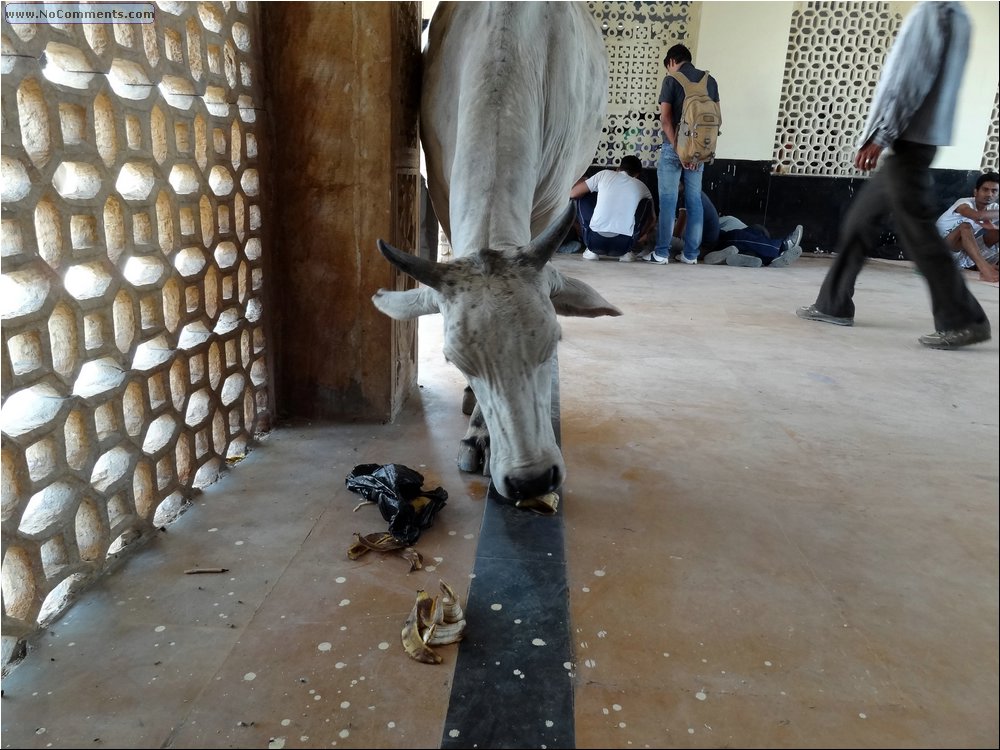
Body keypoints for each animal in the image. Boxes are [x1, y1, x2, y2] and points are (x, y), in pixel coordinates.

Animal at [372, 2, 616, 502]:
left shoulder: (551, 203)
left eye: (552, 341)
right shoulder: (441, 186)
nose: (533, 478)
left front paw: (483, 436)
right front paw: (477, 430)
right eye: (456, 360)